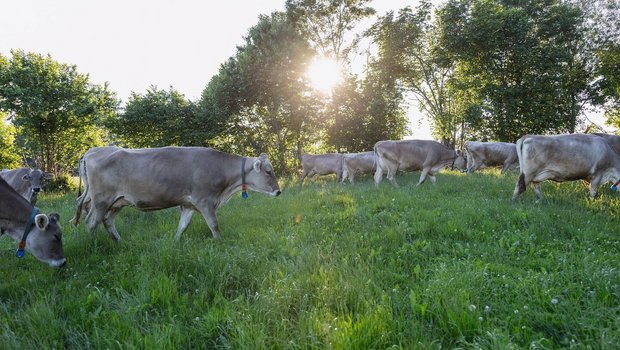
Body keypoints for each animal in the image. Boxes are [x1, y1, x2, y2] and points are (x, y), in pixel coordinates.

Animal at [73, 146, 284, 242]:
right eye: (268, 171)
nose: (278, 191)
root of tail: (93, 151)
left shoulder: (189, 204)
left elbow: (183, 226)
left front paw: (174, 242)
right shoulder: (205, 200)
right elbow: (214, 225)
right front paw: (220, 243)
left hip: (117, 202)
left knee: (107, 221)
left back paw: (119, 242)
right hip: (101, 199)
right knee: (92, 222)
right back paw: (93, 245)